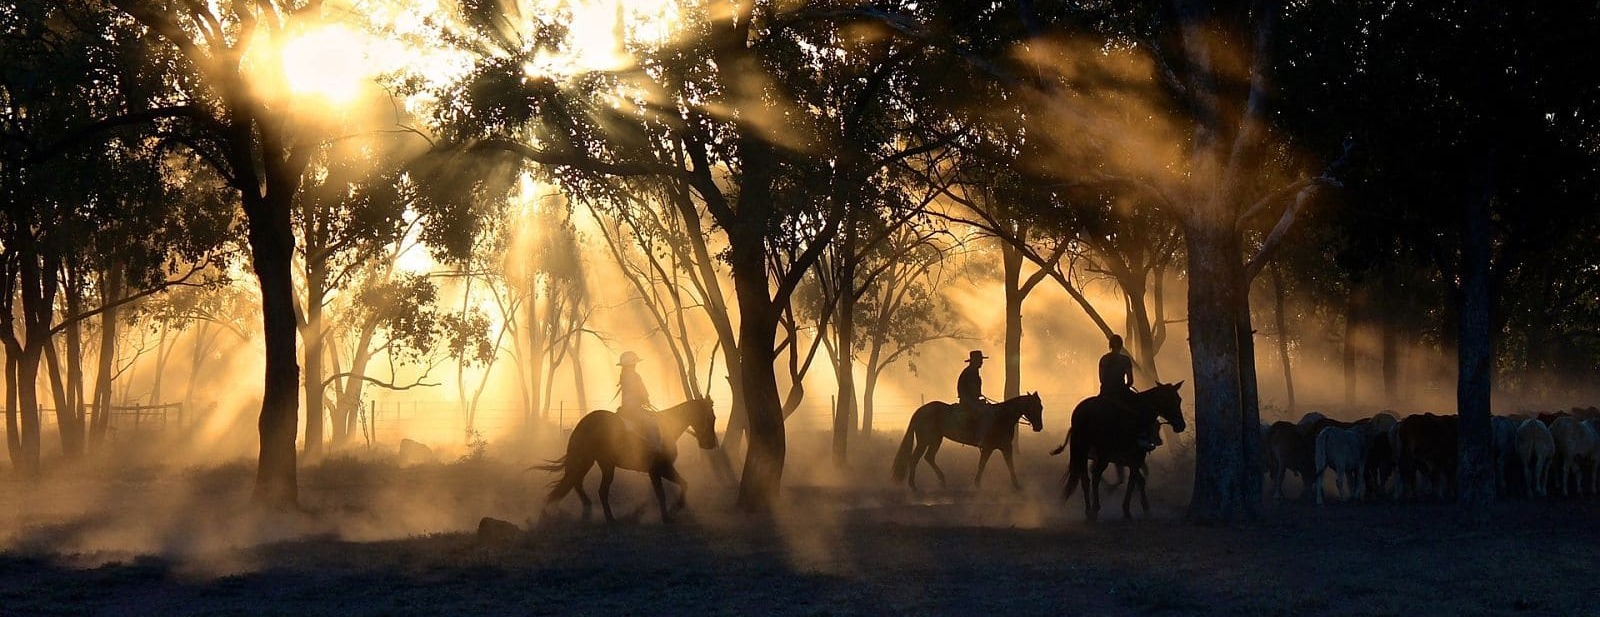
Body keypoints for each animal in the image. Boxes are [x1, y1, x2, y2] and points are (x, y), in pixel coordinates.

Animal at [534, 398, 716, 524]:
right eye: (711, 417)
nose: (711, 444)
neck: (667, 427)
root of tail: (584, 423)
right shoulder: (658, 470)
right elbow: (663, 492)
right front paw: (668, 514)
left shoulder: (660, 470)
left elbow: (682, 485)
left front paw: (672, 510)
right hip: (600, 464)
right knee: (596, 488)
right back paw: (608, 517)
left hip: (593, 462)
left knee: (578, 482)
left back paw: (589, 510)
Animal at [889, 393, 1049, 489]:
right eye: (1036, 407)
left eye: (1041, 407)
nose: (1039, 427)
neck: (1001, 416)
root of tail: (920, 410)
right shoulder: (991, 447)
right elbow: (983, 465)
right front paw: (977, 484)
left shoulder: (1004, 447)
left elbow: (1008, 464)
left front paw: (1016, 485)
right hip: (925, 441)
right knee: (914, 459)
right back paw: (913, 486)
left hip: (936, 440)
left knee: (929, 457)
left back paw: (942, 480)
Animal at [1056, 380, 1184, 521]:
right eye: (1171, 400)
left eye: (1179, 399)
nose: (1181, 425)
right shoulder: (1137, 457)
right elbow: (1132, 482)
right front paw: (1127, 510)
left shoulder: (1128, 459)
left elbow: (1139, 480)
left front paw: (1145, 507)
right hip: (1103, 455)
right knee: (1095, 476)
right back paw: (1095, 509)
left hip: (1083, 452)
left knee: (1085, 479)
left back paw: (1089, 510)